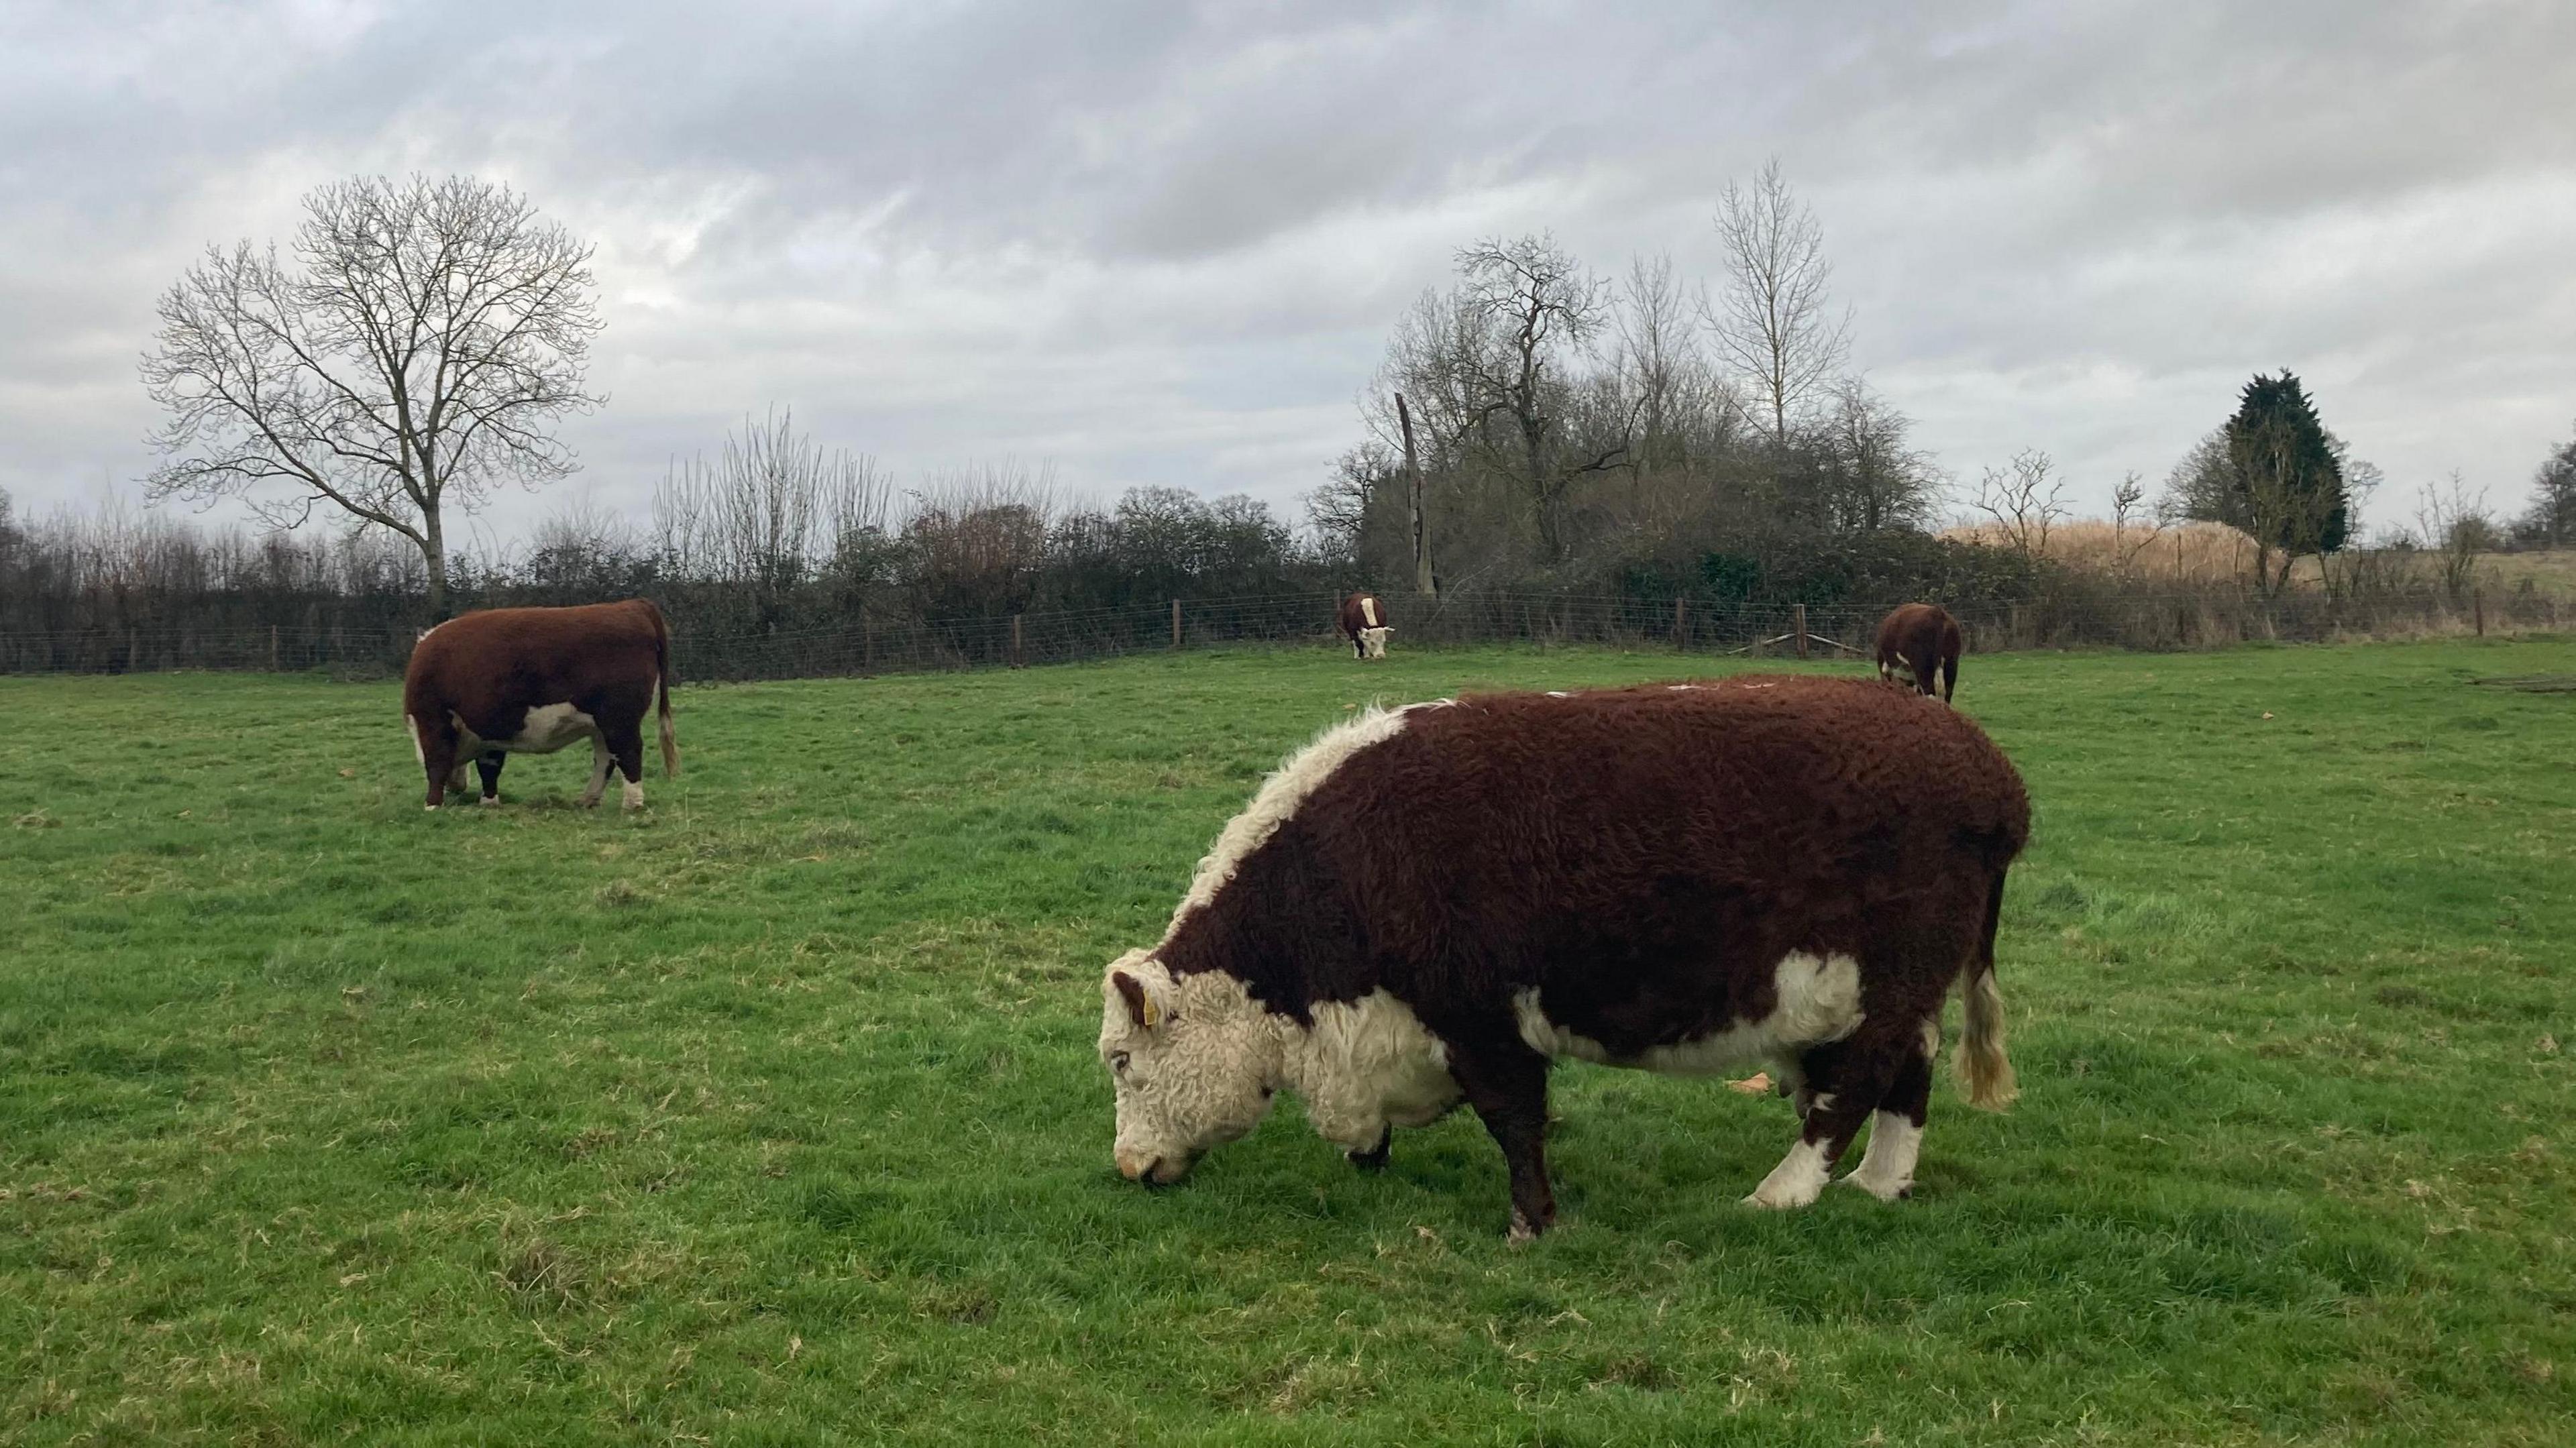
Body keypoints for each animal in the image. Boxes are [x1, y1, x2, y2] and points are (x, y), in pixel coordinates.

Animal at [404, 592, 680, 803]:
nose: (458, 788)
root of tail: (632, 606)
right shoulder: (491, 728)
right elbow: (490, 766)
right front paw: (489, 803)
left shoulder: (433, 720)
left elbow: (437, 763)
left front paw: (432, 805)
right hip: (602, 725)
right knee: (606, 759)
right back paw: (587, 800)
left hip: (619, 720)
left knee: (629, 753)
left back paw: (632, 804)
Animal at [1102, 669, 2029, 1236]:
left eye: (1119, 1060)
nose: (1128, 1164)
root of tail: (1986, 766)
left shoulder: (1477, 1014)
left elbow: (1514, 1117)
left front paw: (1531, 1222)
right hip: (1895, 989)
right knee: (1906, 1075)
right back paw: (1879, 1184)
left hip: (1890, 979)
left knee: (1855, 1084)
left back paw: (1784, 1190)